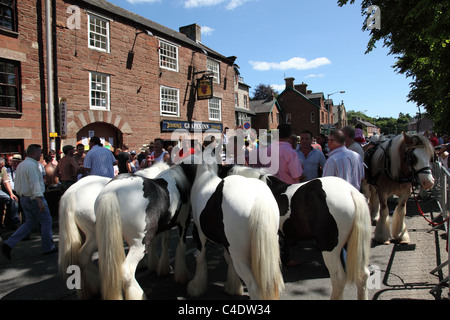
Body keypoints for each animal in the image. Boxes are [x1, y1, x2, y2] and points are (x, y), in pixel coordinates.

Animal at [186, 162, 284, 300]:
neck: (205, 177)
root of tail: (258, 199)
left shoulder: (199, 234)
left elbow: (200, 258)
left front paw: (196, 288)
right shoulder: (226, 243)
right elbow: (228, 259)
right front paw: (233, 287)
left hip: (241, 258)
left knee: (254, 288)